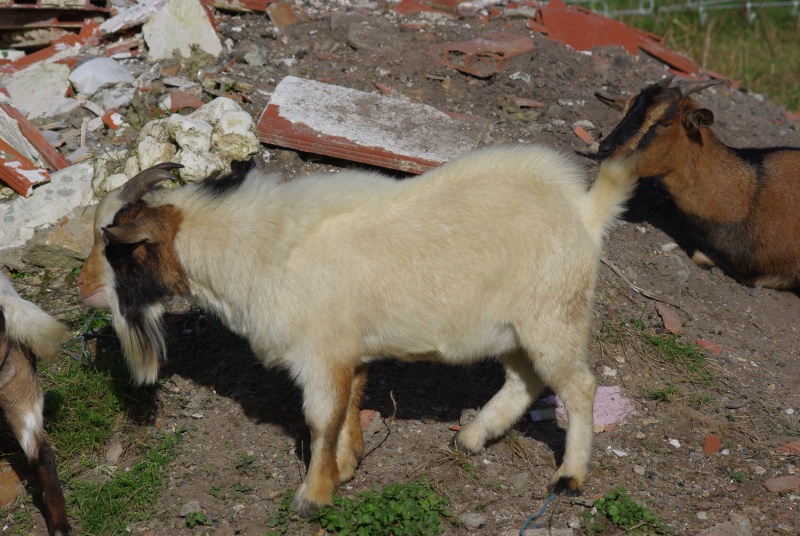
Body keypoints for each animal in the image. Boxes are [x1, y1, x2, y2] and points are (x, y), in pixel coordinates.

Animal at [78, 144, 640, 516]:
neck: (256, 246)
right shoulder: (350, 351)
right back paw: (472, 437)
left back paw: (569, 477)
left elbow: (320, 417)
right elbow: (350, 406)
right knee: (527, 378)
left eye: (116, 249)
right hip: (516, 330)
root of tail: (586, 212)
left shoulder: (321, 352)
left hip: (553, 318)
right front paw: (346, 467)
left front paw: (312, 497)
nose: (83, 285)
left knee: (578, 385)